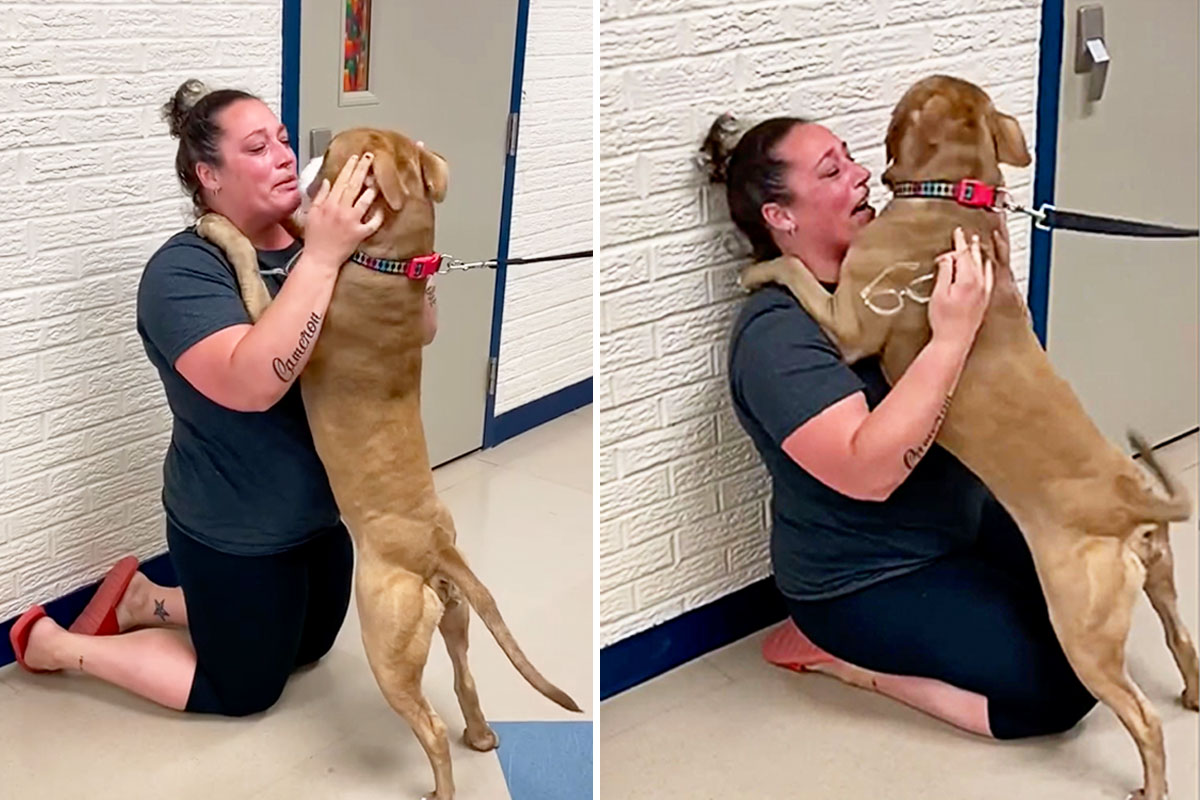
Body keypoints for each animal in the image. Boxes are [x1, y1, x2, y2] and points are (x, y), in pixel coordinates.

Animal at [196, 126, 580, 800]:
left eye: (332, 152)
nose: (299, 154)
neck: (393, 263)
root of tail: (437, 549)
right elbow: (295, 233)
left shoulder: (272, 323)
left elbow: (250, 257)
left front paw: (219, 223)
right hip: (453, 617)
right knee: (464, 678)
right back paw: (482, 736)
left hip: (386, 640)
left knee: (429, 726)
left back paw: (440, 787)